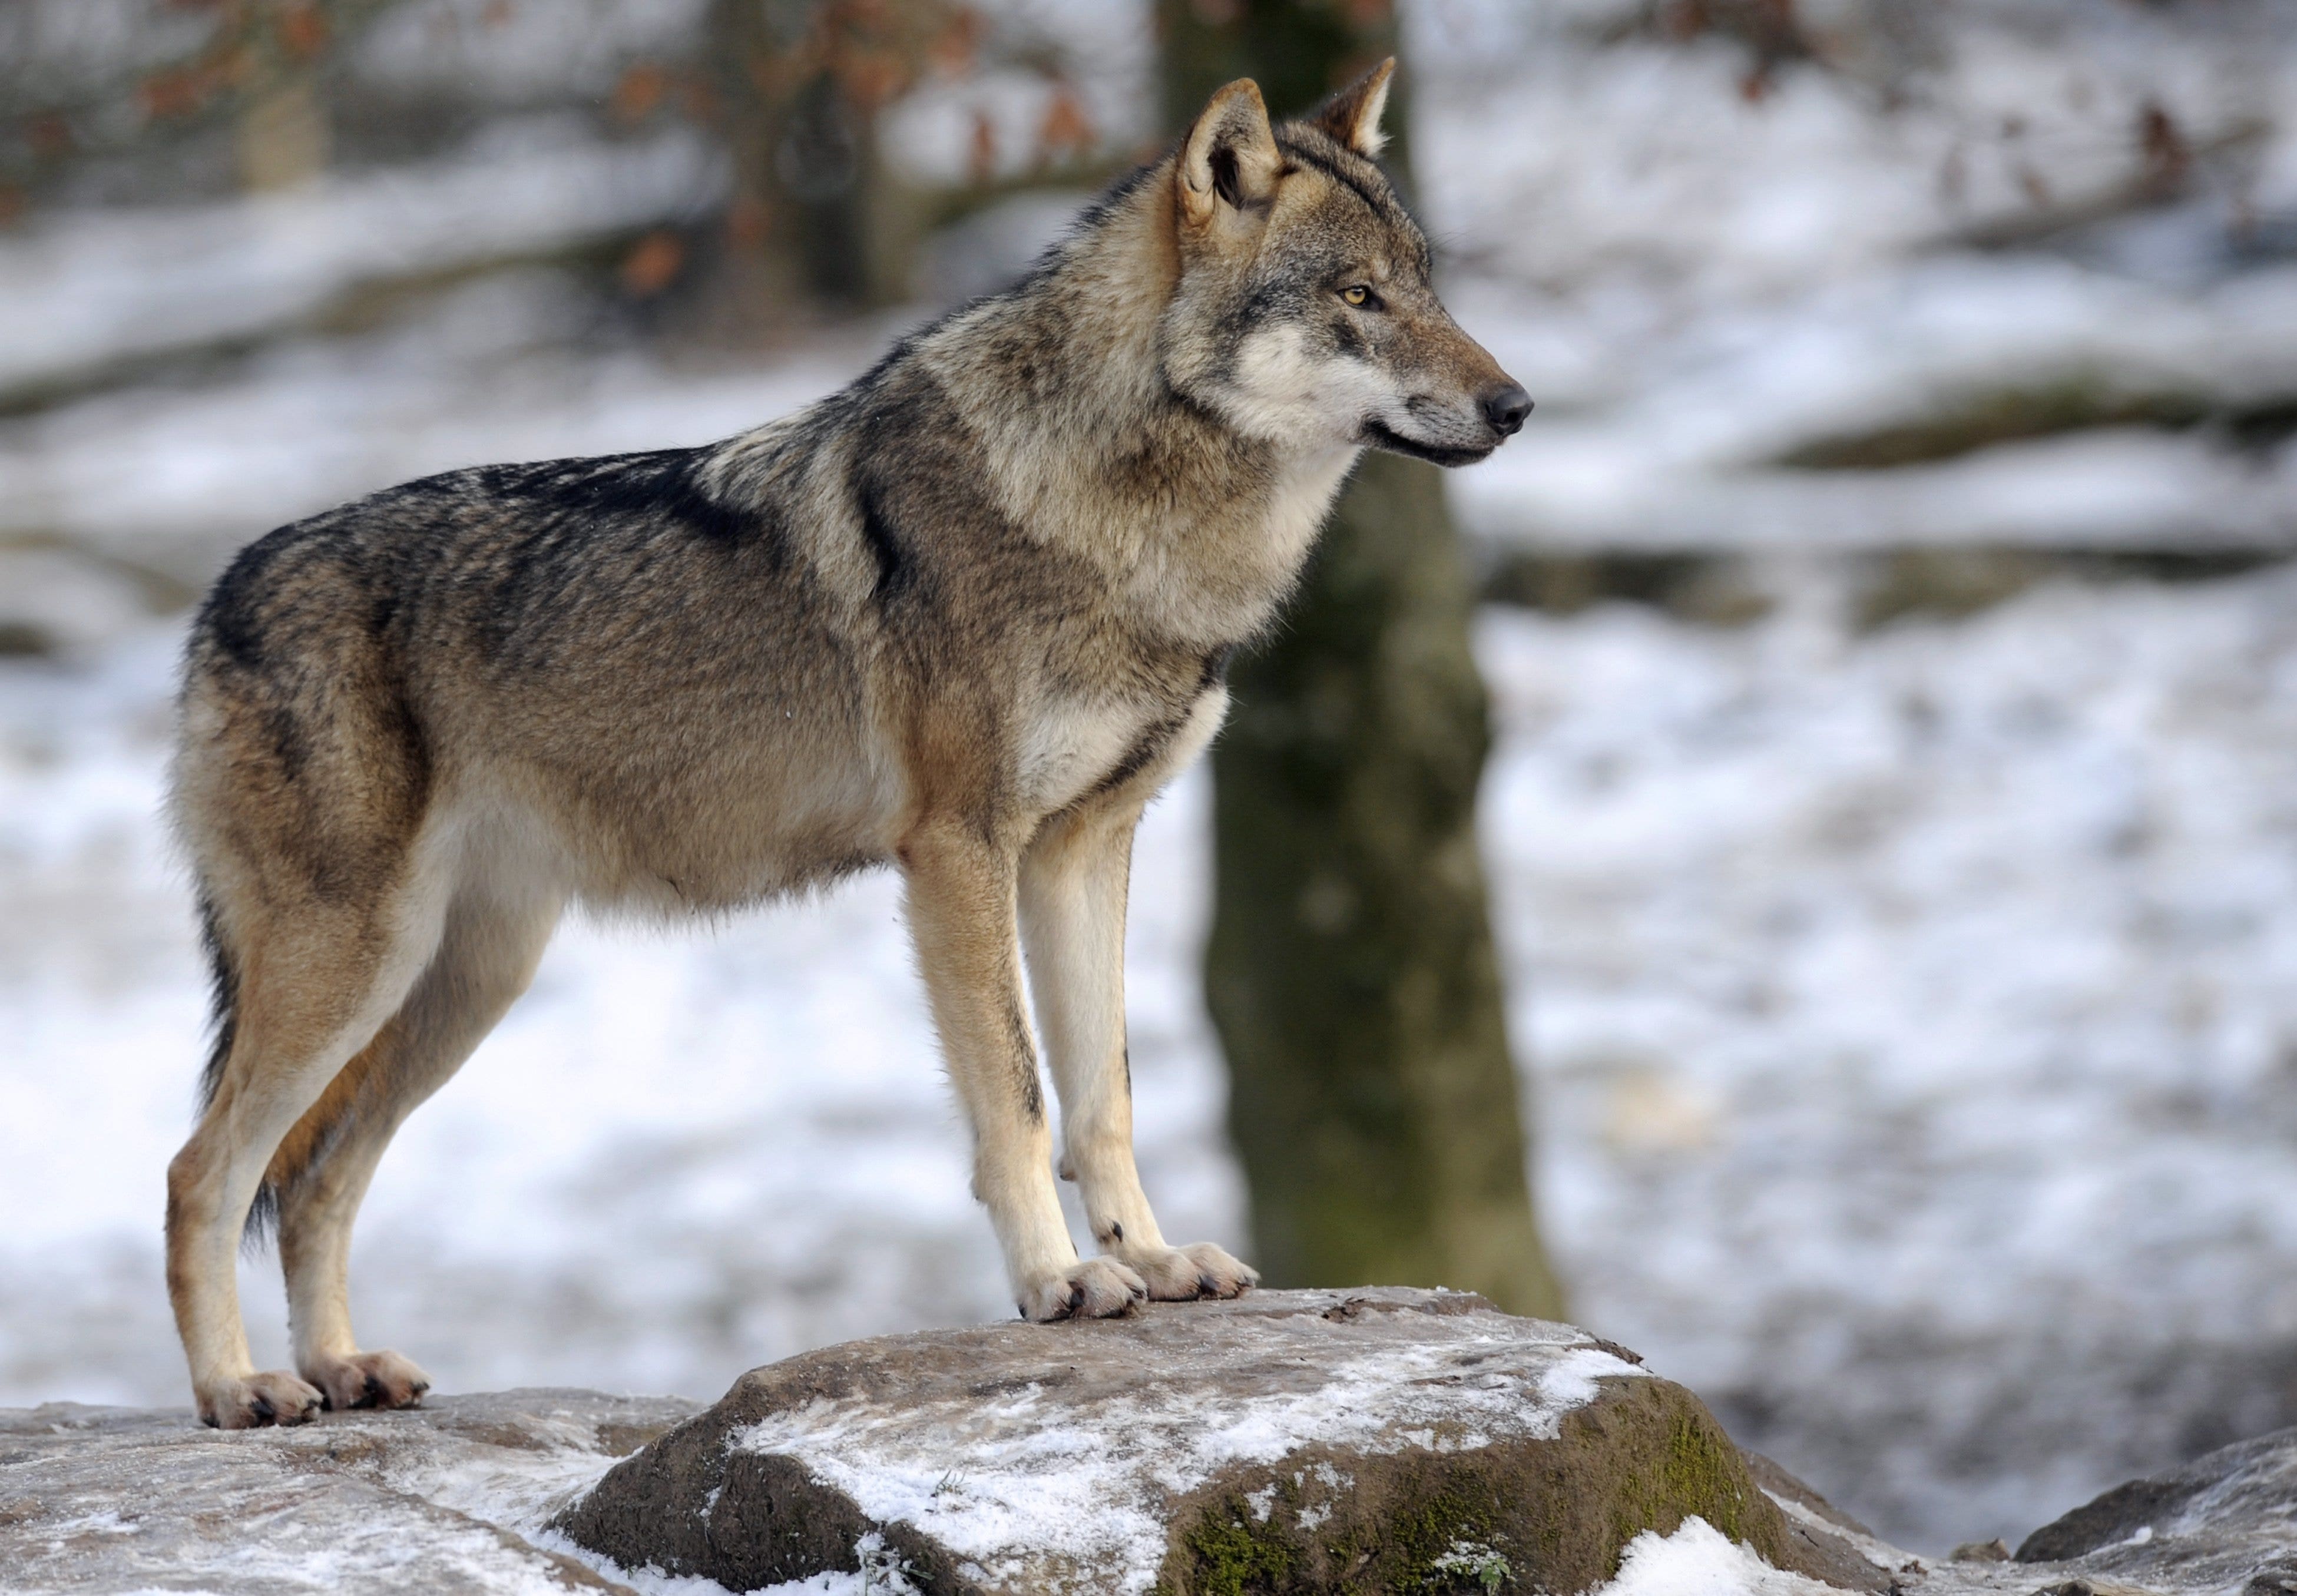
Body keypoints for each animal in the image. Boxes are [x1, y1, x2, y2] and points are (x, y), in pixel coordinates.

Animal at [164, 60, 1532, 1428]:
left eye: (1428, 281)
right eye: (1357, 297)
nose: (1518, 406)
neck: (1121, 518)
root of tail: (216, 599)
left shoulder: (1084, 848)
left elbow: (1105, 1096)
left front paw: (1148, 1257)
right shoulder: (959, 852)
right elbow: (1019, 1098)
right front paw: (1061, 1282)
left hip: (461, 983)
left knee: (317, 1182)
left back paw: (343, 1368)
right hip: (358, 966)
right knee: (202, 1172)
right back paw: (242, 1388)